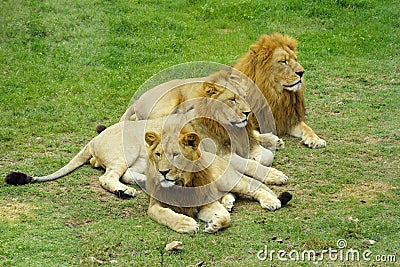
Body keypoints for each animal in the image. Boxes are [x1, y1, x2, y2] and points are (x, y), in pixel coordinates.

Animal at [143, 128, 290, 234]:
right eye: (158, 154)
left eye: (175, 154)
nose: (163, 172)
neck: (181, 184)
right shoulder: (154, 206)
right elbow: (165, 214)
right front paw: (186, 224)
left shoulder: (205, 201)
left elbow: (226, 217)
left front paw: (214, 223)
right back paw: (227, 202)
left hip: (227, 180)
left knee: (253, 188)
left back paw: (271, 201)